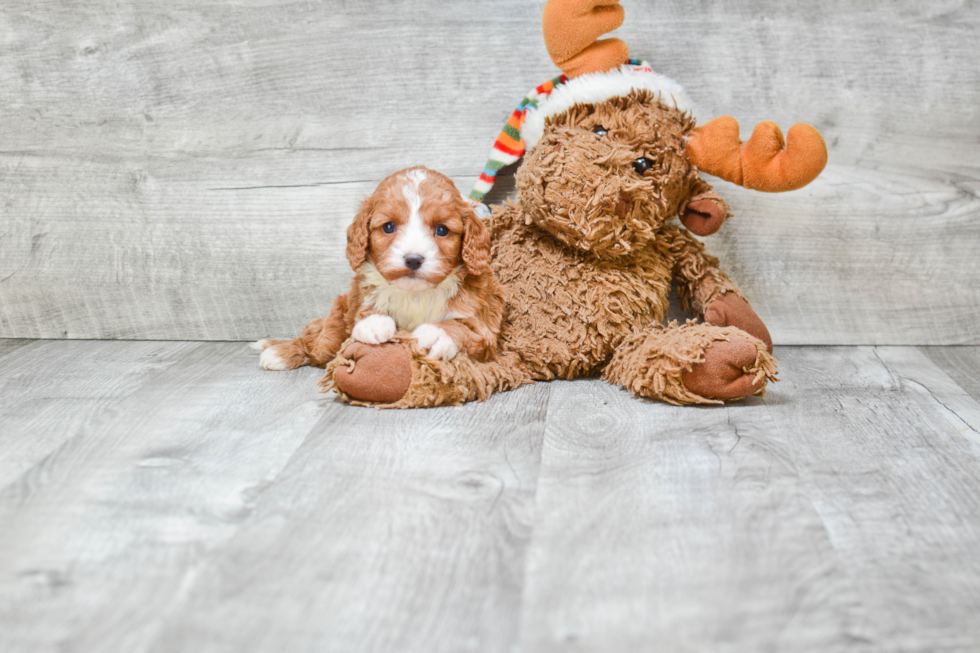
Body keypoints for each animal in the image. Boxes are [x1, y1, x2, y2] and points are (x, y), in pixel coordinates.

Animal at [253, 167, 506, 372]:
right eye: (389, 227)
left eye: (442, 230)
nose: (413, 259)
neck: (415, 294)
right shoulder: (361, 297)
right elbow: (366, 312)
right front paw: (375, 323)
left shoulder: (484, 327)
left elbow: (463, 327)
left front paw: (436, 333)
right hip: (334, 327)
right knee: (316, 342)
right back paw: (279, 352)